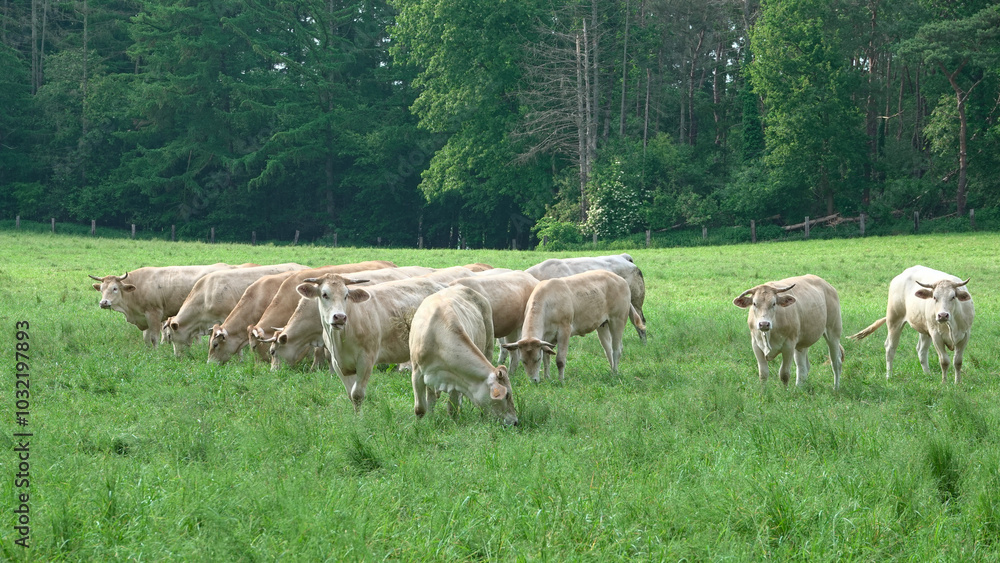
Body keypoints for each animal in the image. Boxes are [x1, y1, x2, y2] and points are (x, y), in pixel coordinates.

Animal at [89, 263, 233, 346]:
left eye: (114, 288)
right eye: (101, 289)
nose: (103, 303)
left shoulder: (154, 314)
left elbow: (154, 337)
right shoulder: (144, 316)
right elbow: (146, 338)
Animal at [296, 275, 447, 409]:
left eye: (346, 295)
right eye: (324, 294)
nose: (340, 317)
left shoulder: (366, 360)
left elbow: (357, 394)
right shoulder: (338, 364)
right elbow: (350, 394)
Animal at [409, 285, 517, 425]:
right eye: (507, 395)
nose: (515, 421)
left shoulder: (456, 379)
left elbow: (453, 408)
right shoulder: (417, 373)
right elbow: (420, 408)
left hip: (488, 346)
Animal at [501, 269, 631, 383]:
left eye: (537, 359)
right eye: (523, 361)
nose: (533, 381)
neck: (547, 304)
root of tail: (620, 279)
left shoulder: (564, 331)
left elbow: (560, 360)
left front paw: (561, 380)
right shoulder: (546, 338)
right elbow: (547, 357)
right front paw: (547, 377)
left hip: (618, 320)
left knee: (616, 349)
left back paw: (615, 372)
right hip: (602, 325)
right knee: (608, 349)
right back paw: (612, 371)